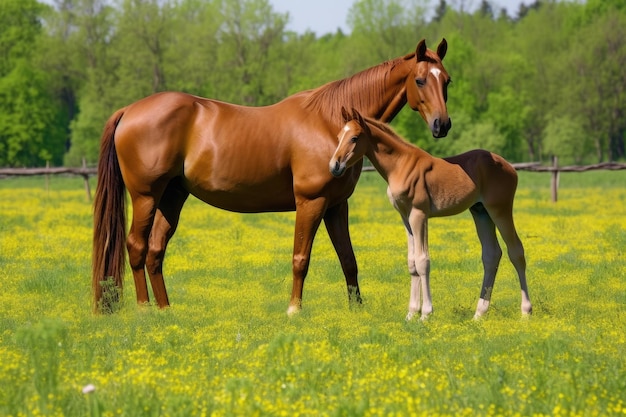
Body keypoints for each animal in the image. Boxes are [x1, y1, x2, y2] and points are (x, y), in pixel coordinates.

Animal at [92, 39, 448, 314]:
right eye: (420, 80)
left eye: (446, 80)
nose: (442, 125)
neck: (329, 124)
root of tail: (128, 111)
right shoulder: (310, 202)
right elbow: (301, 258)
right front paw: (294, 310)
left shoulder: (336, 206)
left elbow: (348, 259)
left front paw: (356, 310)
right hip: (146, 196)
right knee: (137, 246)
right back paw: (144, 309)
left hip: (172, 196)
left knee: (155, 250)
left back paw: (166, 310)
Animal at [330, 109, 528, 320]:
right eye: (338, 137)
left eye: (354, 138)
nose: (334, 166)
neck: (401, 165)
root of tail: (510, 167)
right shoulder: (405, 218)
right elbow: (412, 263)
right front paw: (411, 313)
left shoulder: (419, 215)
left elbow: (422, 261)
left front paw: (425, 314)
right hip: (481, 212)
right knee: (491, 255)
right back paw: (479, 314)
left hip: (500, 209)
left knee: (516, 251)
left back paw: (526, 311)